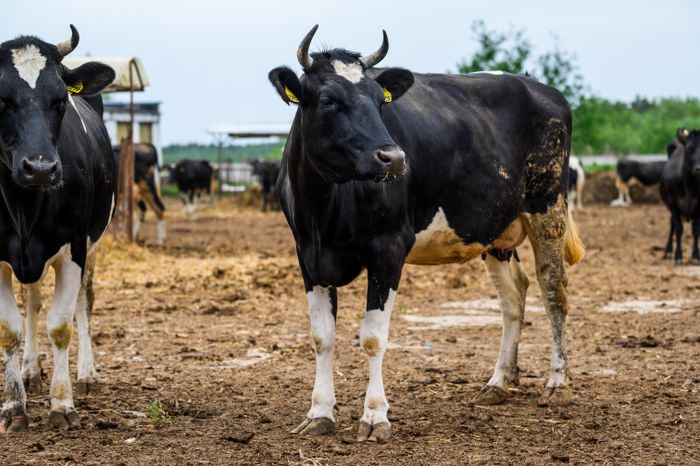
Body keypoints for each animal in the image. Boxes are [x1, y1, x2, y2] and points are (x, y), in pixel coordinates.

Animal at [0, 25, 115, 432]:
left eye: (61, 99)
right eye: (1, 98)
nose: (41, 168)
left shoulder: (75, 249)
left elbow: (61, 325)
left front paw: (62, 404)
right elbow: (10, 330)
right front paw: (13, 406)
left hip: (93, 245)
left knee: (84, 301)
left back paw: (86, 375)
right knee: (32, 303)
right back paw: (31, 371)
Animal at [268, 26, 584, 442]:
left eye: (380, 102)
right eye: (327, 100)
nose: (394, 158)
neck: (325, 210)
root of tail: (537, 85)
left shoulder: (389, 249)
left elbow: (373, 336)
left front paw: (375, 416)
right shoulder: (308, 257)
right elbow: (322, 337)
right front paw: (319, 413)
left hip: (548, 204)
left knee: (554, 290)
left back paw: (558, 383)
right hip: (494, 227)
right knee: (514, 295)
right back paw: (499, 382)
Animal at [660, 128, 700, 264]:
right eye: (689, 148)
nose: (699, 169)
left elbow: (696, 230)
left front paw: (696, 256)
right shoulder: (673, 203)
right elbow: (678, 228)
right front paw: (678, 256)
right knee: (672, 224)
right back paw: (668, 251)